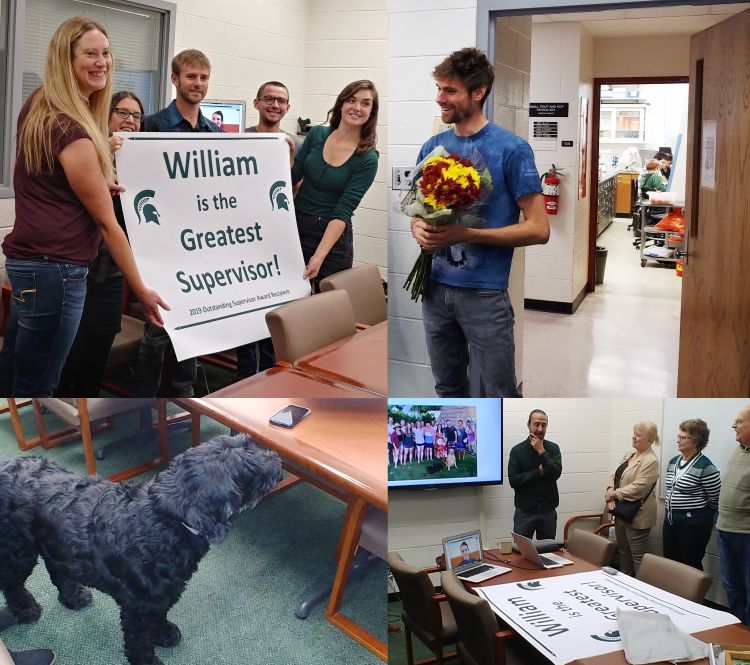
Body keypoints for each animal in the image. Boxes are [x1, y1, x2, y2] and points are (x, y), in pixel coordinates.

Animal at [0, 434, 282, 660]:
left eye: (248, 443)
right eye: (252, 466)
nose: (277, 459)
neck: (168, 520)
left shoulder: (162, 596)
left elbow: (159, 617)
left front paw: (164, 633)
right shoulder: (137, 608)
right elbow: (139, 642)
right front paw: (148, 659)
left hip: (54, 544)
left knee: (57, 570)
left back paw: (73, 597)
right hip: (19, 552)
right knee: (12, 584)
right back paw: (26, 609)